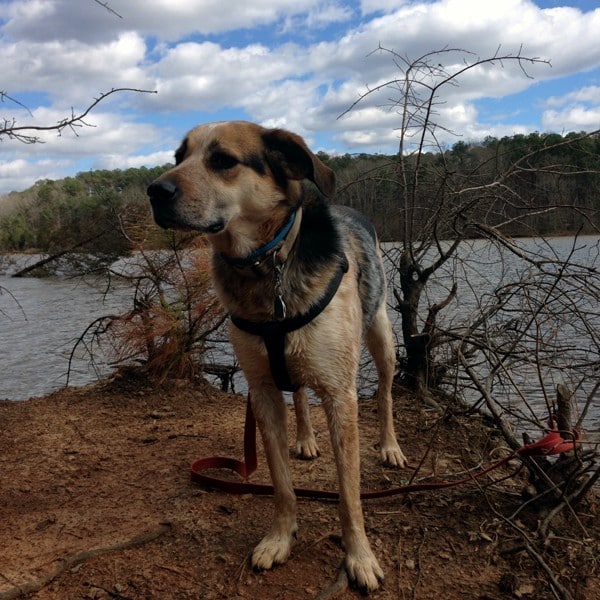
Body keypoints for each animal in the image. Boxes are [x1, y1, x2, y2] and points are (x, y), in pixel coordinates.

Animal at [148, 120, 408, 592]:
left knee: (384, 392)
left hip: (381, 336)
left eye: (223, 160)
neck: (267, 265)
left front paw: (359, 557)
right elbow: (282, 483)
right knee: (301, 393)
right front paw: (280, 539)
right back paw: (304, 439)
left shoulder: (341, 396)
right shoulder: (263, 389)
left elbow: (349, 494)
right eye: (179, 157)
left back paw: (389, 446)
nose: (154, 191)